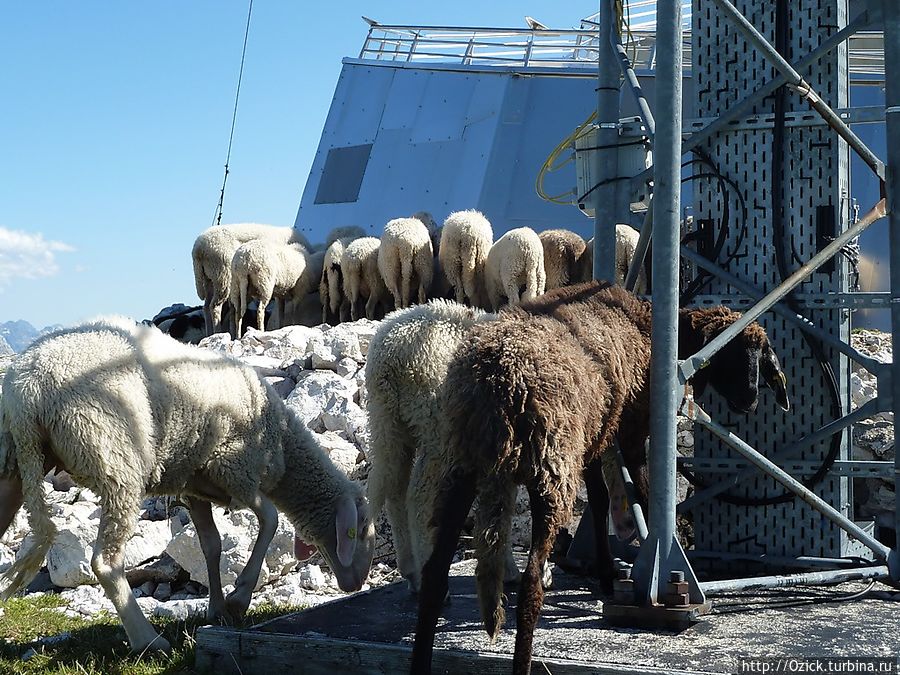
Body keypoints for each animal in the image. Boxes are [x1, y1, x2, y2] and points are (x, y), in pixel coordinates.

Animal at [0, 320, 374, 656]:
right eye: (360, 530)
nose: (356, 585)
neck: (282, 440)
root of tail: (28, 391)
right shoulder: (233, 465)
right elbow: (270, 520)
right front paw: (239, 597)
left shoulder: (196, 485)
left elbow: (212, 546)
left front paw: (217, 608)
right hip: (114, 458)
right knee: (106, 562)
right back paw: (148, 640)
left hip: (14, 463)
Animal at [412, 280, 792, 675]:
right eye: (731, 350)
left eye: (761, 355)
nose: (750, 400)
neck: (647, 324)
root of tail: (496, 380)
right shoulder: (631, 430)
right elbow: (641, 493)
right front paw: (655, 564)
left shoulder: (595, 435)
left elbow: (597, 500)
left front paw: (608, 573)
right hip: (552, 466)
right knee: (531, 583)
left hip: (461, 466)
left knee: (435, 573)